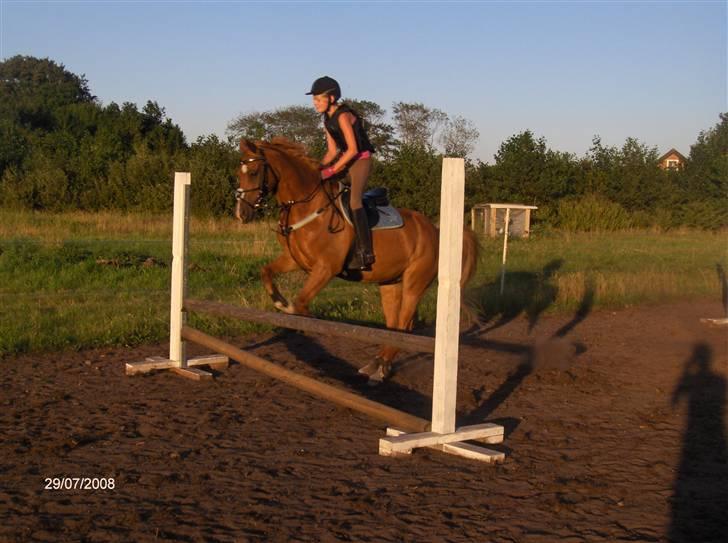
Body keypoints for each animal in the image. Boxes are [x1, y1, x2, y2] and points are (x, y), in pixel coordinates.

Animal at [236, 137, 480, 382]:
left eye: (254, 172)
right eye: (239, 173)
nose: (241, 214)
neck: (307, 205)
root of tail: (436, 231)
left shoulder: (326, 268)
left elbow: (302, 302)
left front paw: (306, 318)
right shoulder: (294, 260)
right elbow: (267, 272)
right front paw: (280, 302)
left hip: (415, 283)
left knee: (403, 325)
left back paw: (380, 369)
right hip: (389, 283)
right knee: (393, 327)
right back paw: (378, 365)